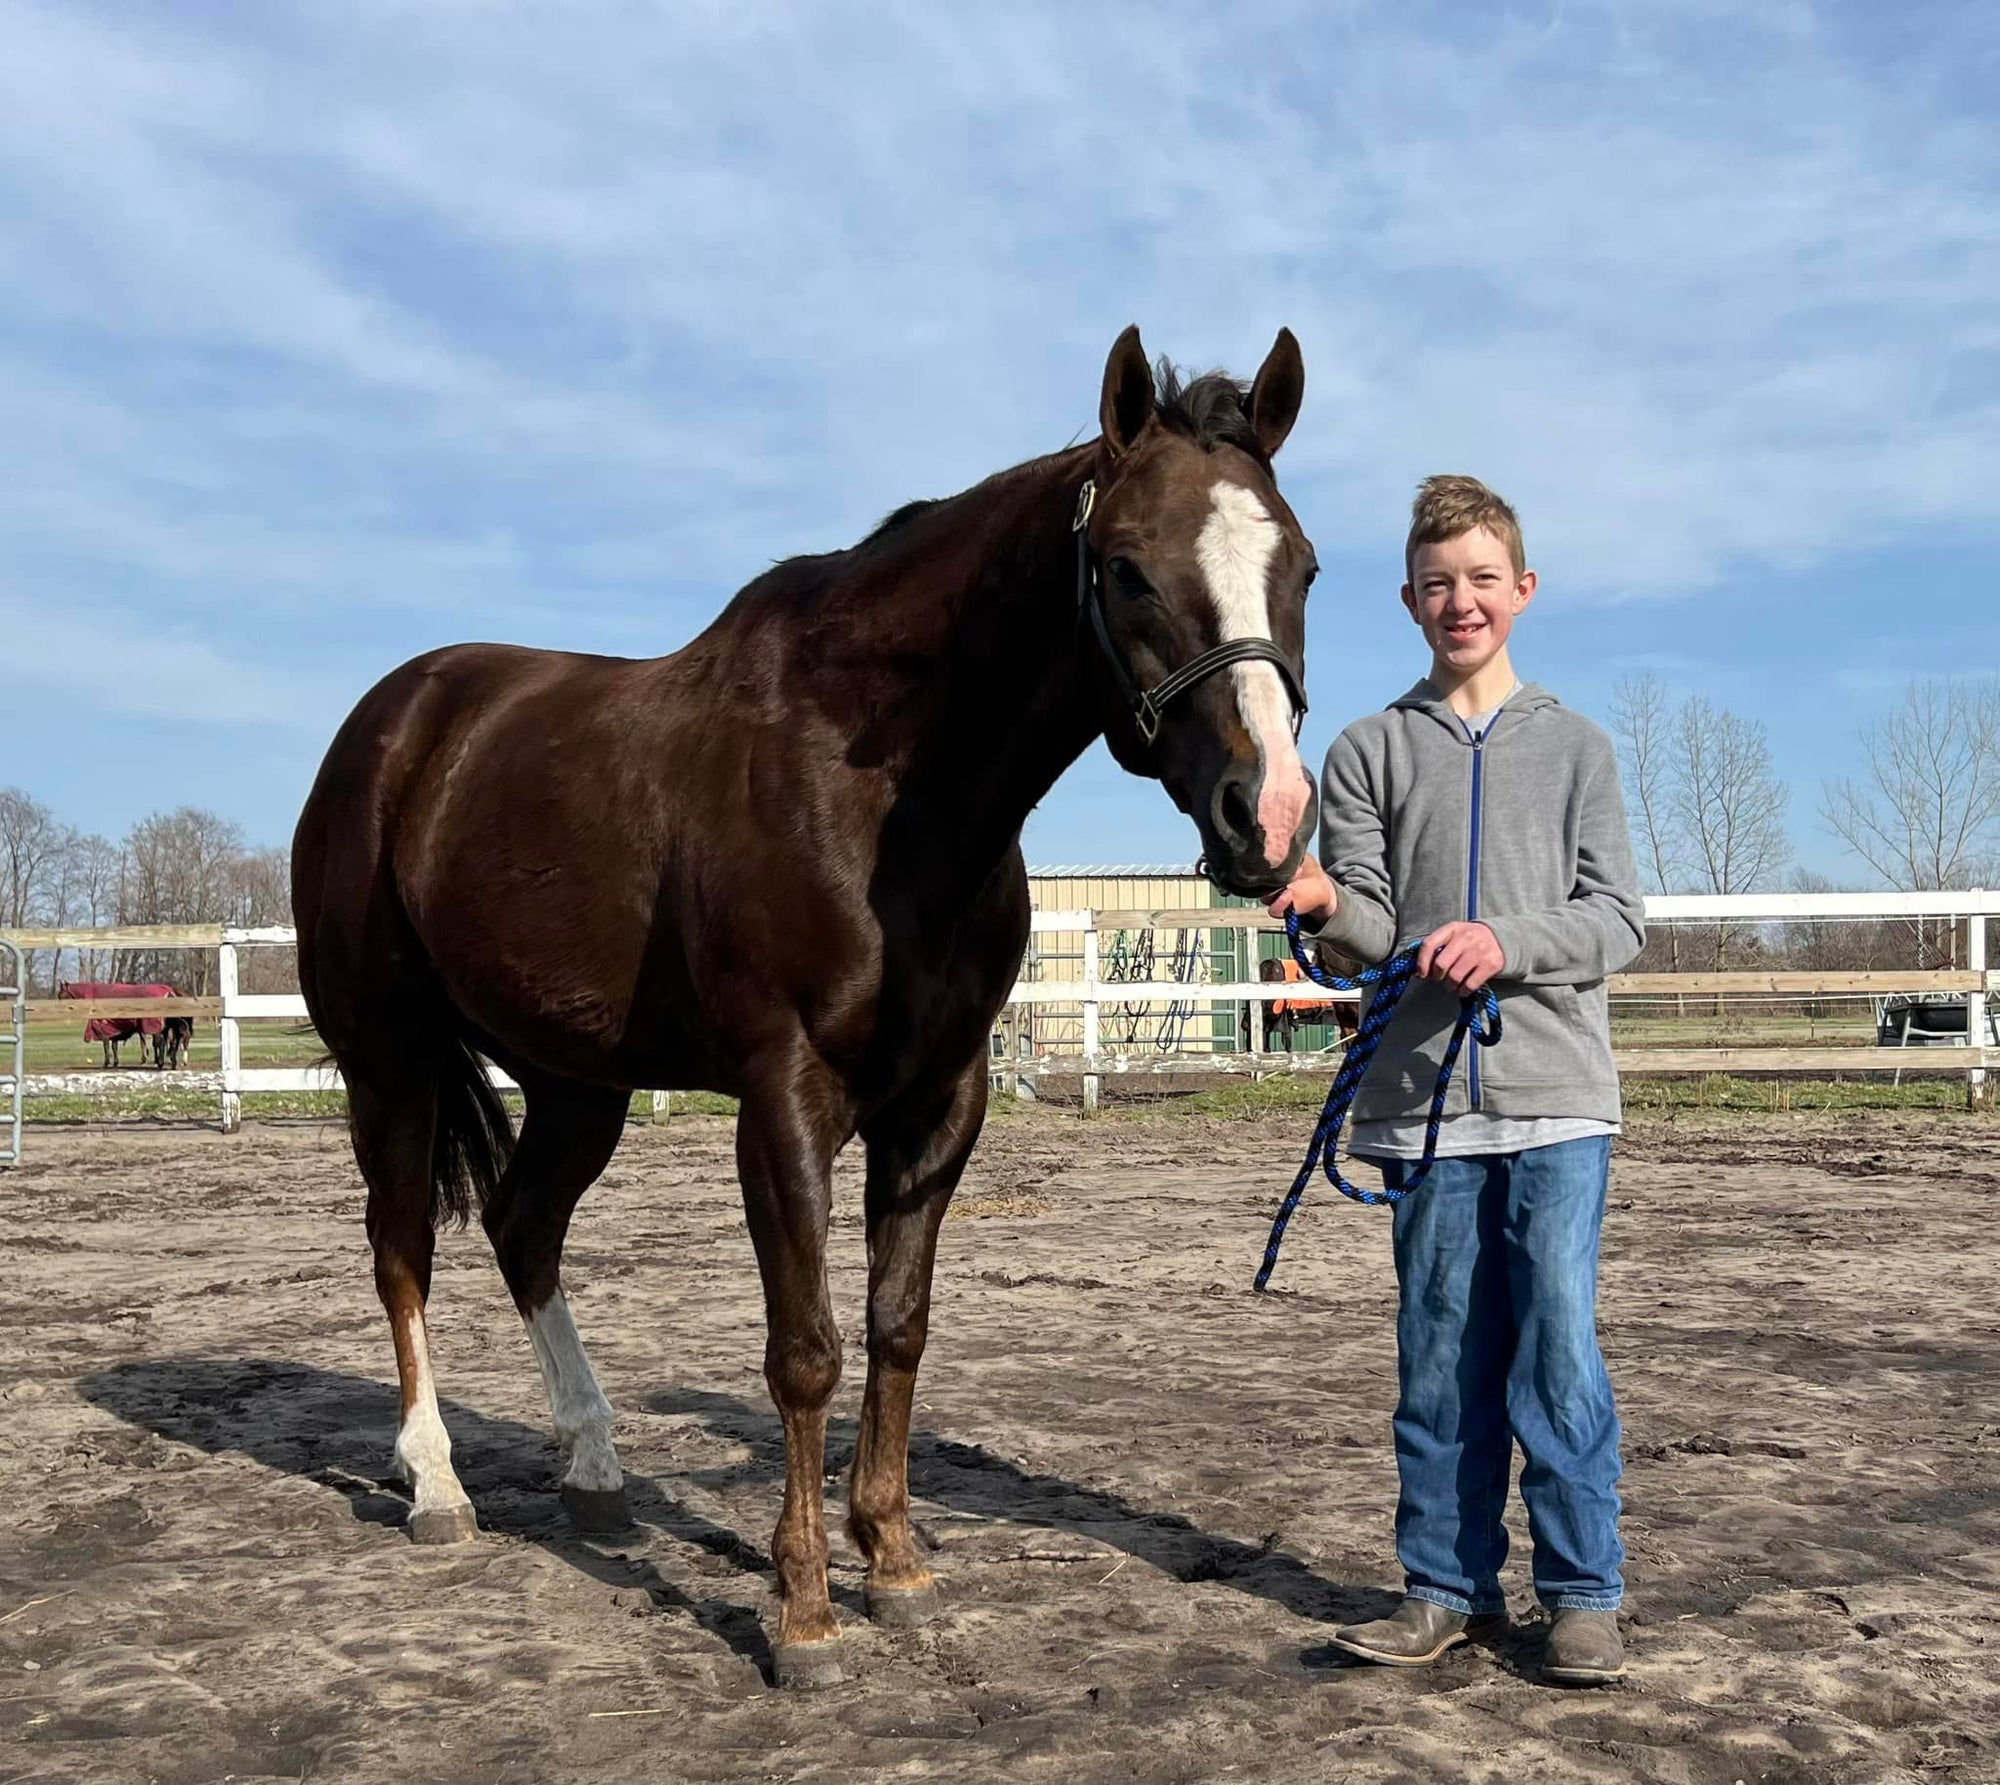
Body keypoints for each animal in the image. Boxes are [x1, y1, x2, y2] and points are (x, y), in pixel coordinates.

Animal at [292, 326, 1318, 1687]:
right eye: (1126, 569)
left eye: (1300, 564)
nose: (1266, 819)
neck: (878, 796)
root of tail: (396, 722)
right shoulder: (783, 1101)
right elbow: (807, 1349)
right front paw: (803, 1610)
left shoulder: (938, 1103)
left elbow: (896, 1327)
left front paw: (893, 1562)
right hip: (389, 1061)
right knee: (402, 1246)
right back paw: (437, 1487)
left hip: (576, 1084)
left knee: (523, 1231)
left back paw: (595, 1461)